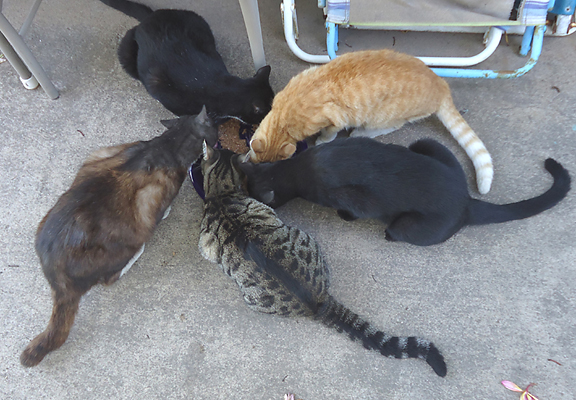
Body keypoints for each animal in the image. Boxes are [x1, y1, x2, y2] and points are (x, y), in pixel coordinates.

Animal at [20, 108, 217, 368]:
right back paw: (136, 255)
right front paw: (167, 213)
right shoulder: (156, 199)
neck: (166, 146)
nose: (219, 129)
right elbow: (163, 209)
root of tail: (58, 278)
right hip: (125, 243)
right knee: (111, 277)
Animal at [238, 138, 572, 245]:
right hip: (425, 144)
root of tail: (466, 201)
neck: (298, 169)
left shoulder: (356, 198)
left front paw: (344, 217)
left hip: (407, 225)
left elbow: (357, 208)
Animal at [250, 49, 492, 196]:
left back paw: (360, 133)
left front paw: (321, 141)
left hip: (383, 117)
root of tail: (441, 85)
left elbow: (329, 133)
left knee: (392, 125)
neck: (285, 117)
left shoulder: (335, 120)